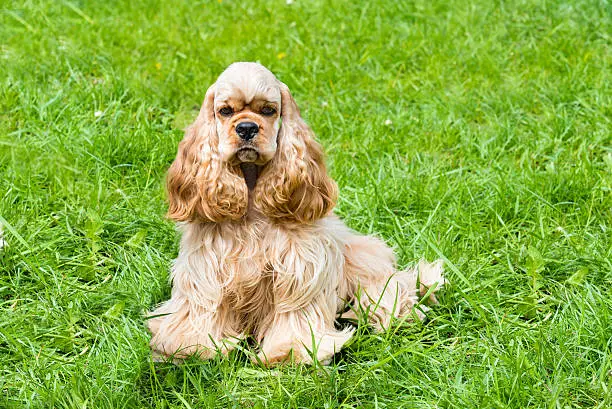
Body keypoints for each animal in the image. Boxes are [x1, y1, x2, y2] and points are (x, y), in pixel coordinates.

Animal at [149, 61, 444, 364]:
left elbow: (293, 315)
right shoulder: (206, 269)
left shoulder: (299, 270)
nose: (246, 128)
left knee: (393, 288)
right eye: (225, 111)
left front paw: (289, 351)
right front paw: (189, 346)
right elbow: (202, 309)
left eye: (269, 110)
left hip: (366, 262)